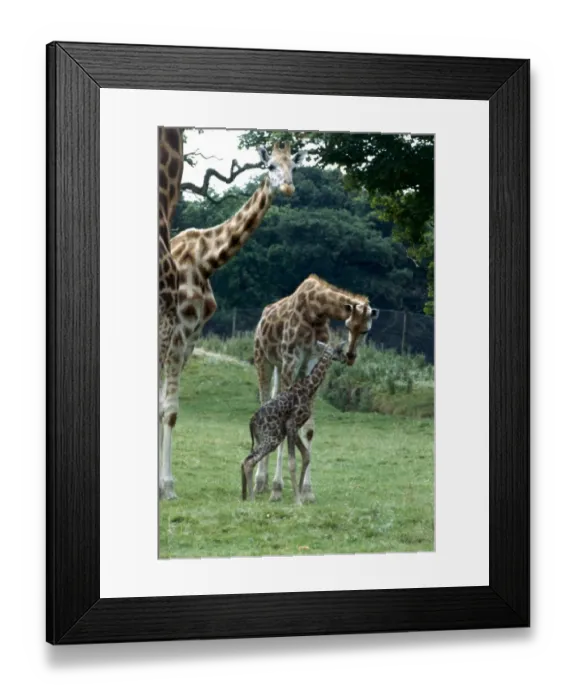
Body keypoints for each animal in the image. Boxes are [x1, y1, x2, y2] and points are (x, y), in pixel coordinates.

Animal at [159, 141, 306, 500]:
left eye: (294, 166)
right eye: (270, 165)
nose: (288, 187)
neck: (206, 260)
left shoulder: (191, 338)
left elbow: (164, 407)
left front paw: (162, 484)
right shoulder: (177, 333)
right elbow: (169, 410)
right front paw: (167, 487)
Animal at [241, 341, 347, 504]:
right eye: (340, 350)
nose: (346, 359)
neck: (309, 387)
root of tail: (251, 422)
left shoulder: (294, 427)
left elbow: (306, 456)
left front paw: (301, 495)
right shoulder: (291, 424)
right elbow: (292, 462)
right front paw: (297, 500)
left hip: (264, 438)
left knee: (246, 459)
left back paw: (245, 495)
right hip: (272, 438)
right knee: (249, 461)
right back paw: (252, 498)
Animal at [253, 274, 380, 503]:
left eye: (366, 330)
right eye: (348, 326)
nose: (350, 356)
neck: (316, 311)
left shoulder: (310, 360)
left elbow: (309, 430)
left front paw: (307, 491)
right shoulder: (291, 360)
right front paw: (277, 489)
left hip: (279, 367)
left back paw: (264, 482)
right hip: (263, 360)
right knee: (264, 403)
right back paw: (260, 482)